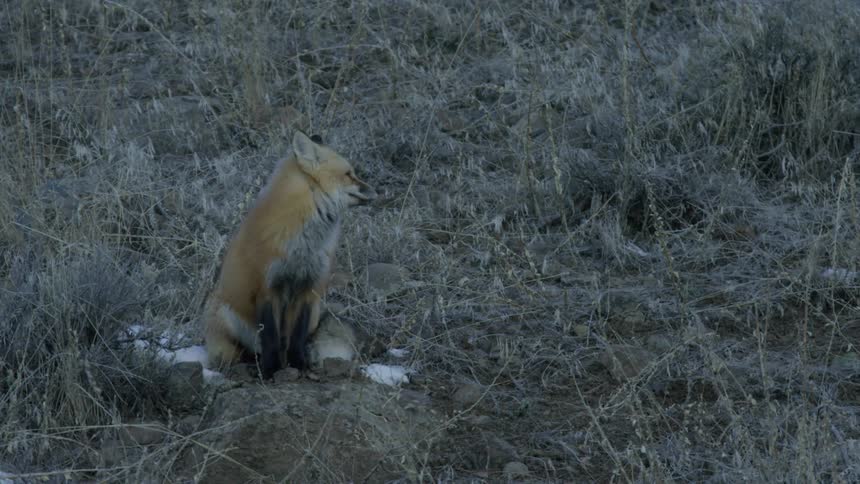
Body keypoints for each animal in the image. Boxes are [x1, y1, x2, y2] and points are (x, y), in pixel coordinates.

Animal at [203, 131, 376, 378]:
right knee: (245, 351)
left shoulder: (309, 288)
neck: (304, 245)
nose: (377, 191)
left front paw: (299, 365)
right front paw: (270, 371)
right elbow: (270, 337)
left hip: (315, 312)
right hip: (225, 321)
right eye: (348, 174)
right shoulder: (267, 288)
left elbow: (297, 337)